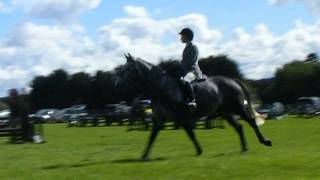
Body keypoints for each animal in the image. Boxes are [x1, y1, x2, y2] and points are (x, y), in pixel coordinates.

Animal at [116, 54, 272, 160]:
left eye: (128, 69)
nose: (118, 85)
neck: (162, 87)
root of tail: (232, 80)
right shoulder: (160, 118)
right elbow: (152, 137)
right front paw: (144, 156)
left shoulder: (181, 117)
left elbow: (191, 134)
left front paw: (199, 151)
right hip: (226, 113)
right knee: (239, 127)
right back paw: (244, 148)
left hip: (238, 108)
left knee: (251, 122)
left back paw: (265, 141)